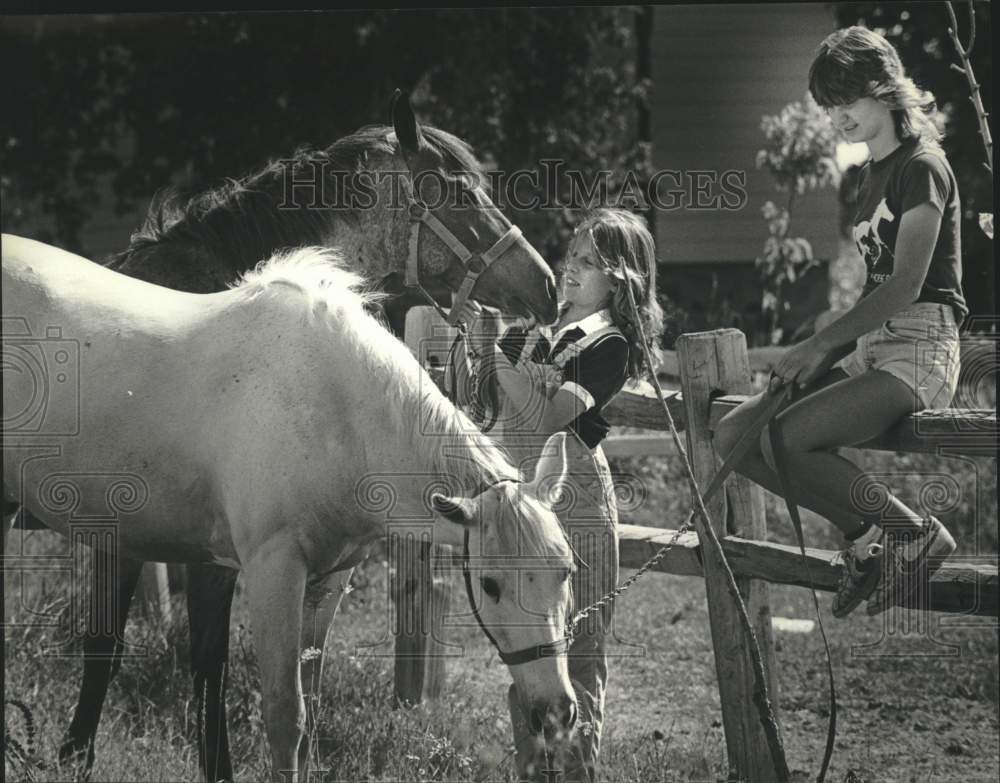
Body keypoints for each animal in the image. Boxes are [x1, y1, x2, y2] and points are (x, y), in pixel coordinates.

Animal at [7, 90, 560, 776]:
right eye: (458, 190)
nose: (546, 285)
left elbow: (246, 676)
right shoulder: (145, 539)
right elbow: (131, 653)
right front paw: (79, 756)